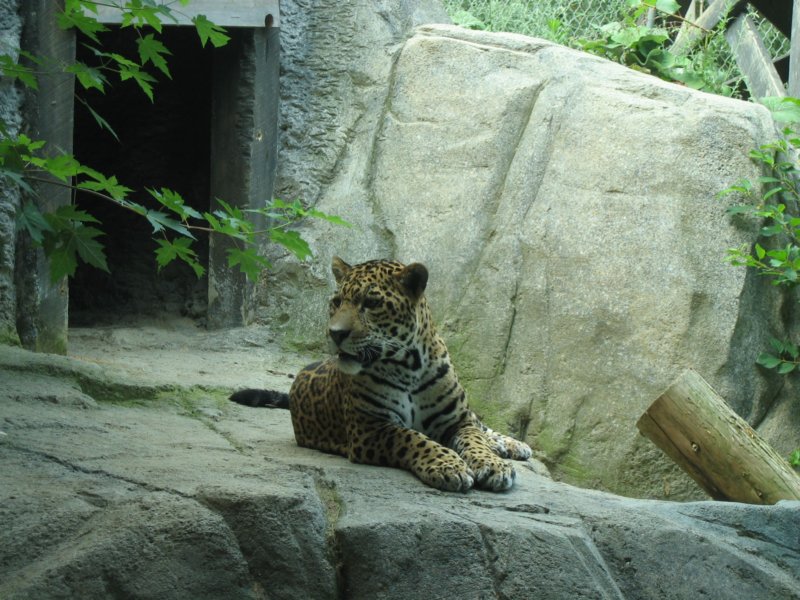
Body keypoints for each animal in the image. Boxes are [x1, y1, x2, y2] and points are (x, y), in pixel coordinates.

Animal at [230, 256, 532, 492]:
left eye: (371, 303)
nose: (335, 333)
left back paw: (513, 445)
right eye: (336, 302)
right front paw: (448, 465)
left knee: (483, 426)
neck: (409, 367)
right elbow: (413, 438)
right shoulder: (370, 427)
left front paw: (493, 465)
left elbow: (475, 439)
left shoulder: (458, 421)